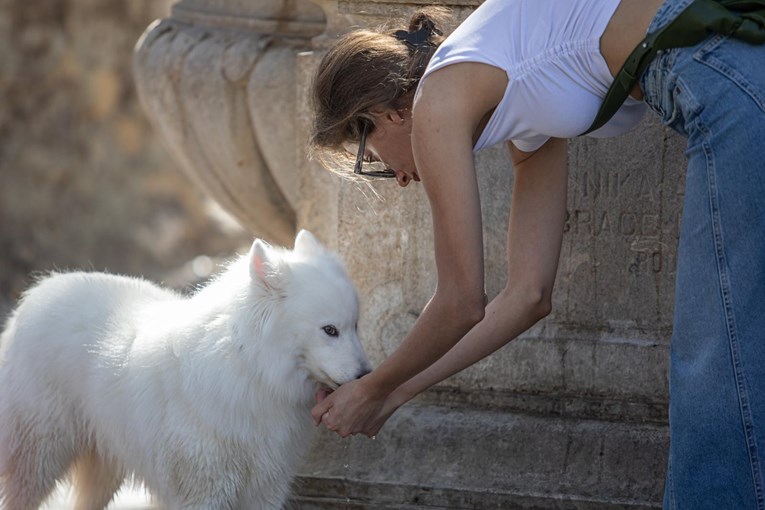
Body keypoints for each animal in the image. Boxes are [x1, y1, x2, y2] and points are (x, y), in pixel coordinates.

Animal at [0, 230, 370, 510]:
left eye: (355, 326)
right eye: (329, 330)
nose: (366, 377)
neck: (250, 371)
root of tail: (37, 294)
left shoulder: (265, 489)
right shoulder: (205, 491)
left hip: (102, 467)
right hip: (39, 459)